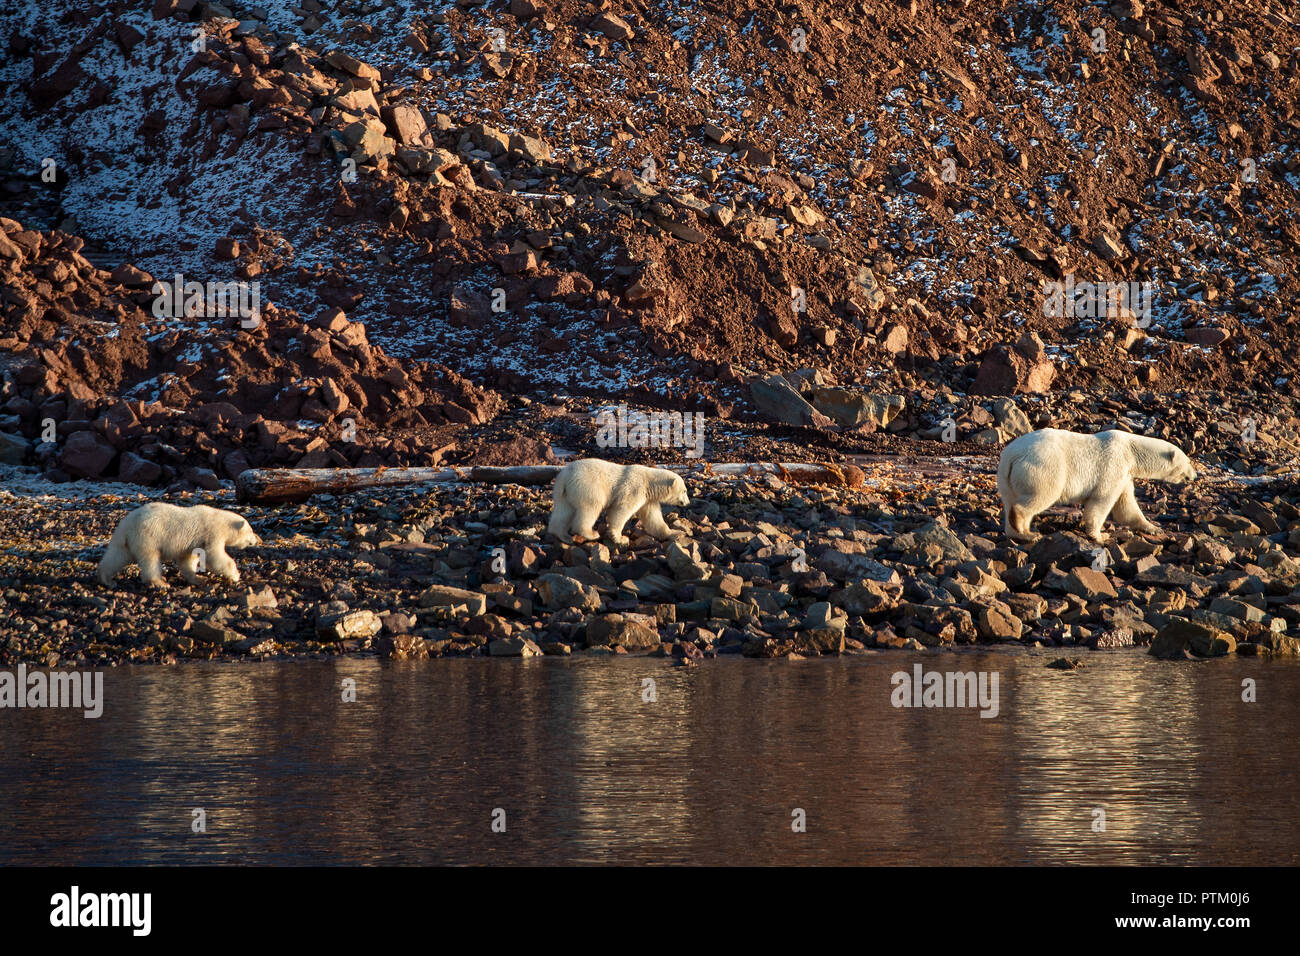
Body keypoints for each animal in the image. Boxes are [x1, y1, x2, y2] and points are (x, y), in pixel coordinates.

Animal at [97, 504, 262, 587]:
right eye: (251, 530)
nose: (257, 540)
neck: (221, 521)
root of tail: (125, 526)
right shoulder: (211, 534)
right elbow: (215, 557)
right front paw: (235, 575)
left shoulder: (192, 542)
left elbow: (187, 560)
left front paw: (198, 579)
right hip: (148, 537)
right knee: (150, 560)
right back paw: (159, 582)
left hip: (127, 541)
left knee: (117, 556)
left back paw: (107, 579)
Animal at [548, 463, 691, 548]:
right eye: (684, 491)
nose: (688, 502)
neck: (649, 481)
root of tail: (565, 477)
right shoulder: (635, 488)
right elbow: (622, 510)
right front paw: (620, 538)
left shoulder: (648, 499)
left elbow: (653, 518)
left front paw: (676, 533)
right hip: (588, 487)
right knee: (591, 508)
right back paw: (591, 533)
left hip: (563, 493)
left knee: (563, 511)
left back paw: (563, 536)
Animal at [993, 429, 1196, 546]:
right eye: (1188, 462)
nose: (1195, 475)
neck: (1131, 449)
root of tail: (1013, 455)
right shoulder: (1113, 465)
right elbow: (1102, 500)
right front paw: (1099, 537)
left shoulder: (1125, 474)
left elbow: (1126, 506)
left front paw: (1154, 528)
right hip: (1044, 467)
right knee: (1042, 494)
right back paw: (1027, 531)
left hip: (1005, 477)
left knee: (1010, 500)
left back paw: (1020, 533)